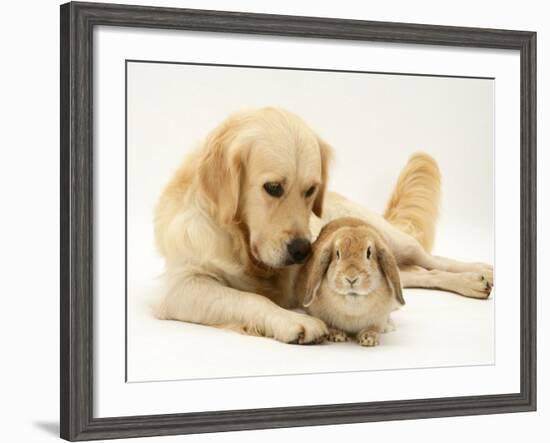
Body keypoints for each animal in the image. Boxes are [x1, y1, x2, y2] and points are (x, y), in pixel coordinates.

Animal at [298, 218, 406, 346]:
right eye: (337, 253)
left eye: (369, 252)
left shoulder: (378, 319)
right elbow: (328, 325)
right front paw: (337, 335)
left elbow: (373, 328)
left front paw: (369, 339)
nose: (351, 278)